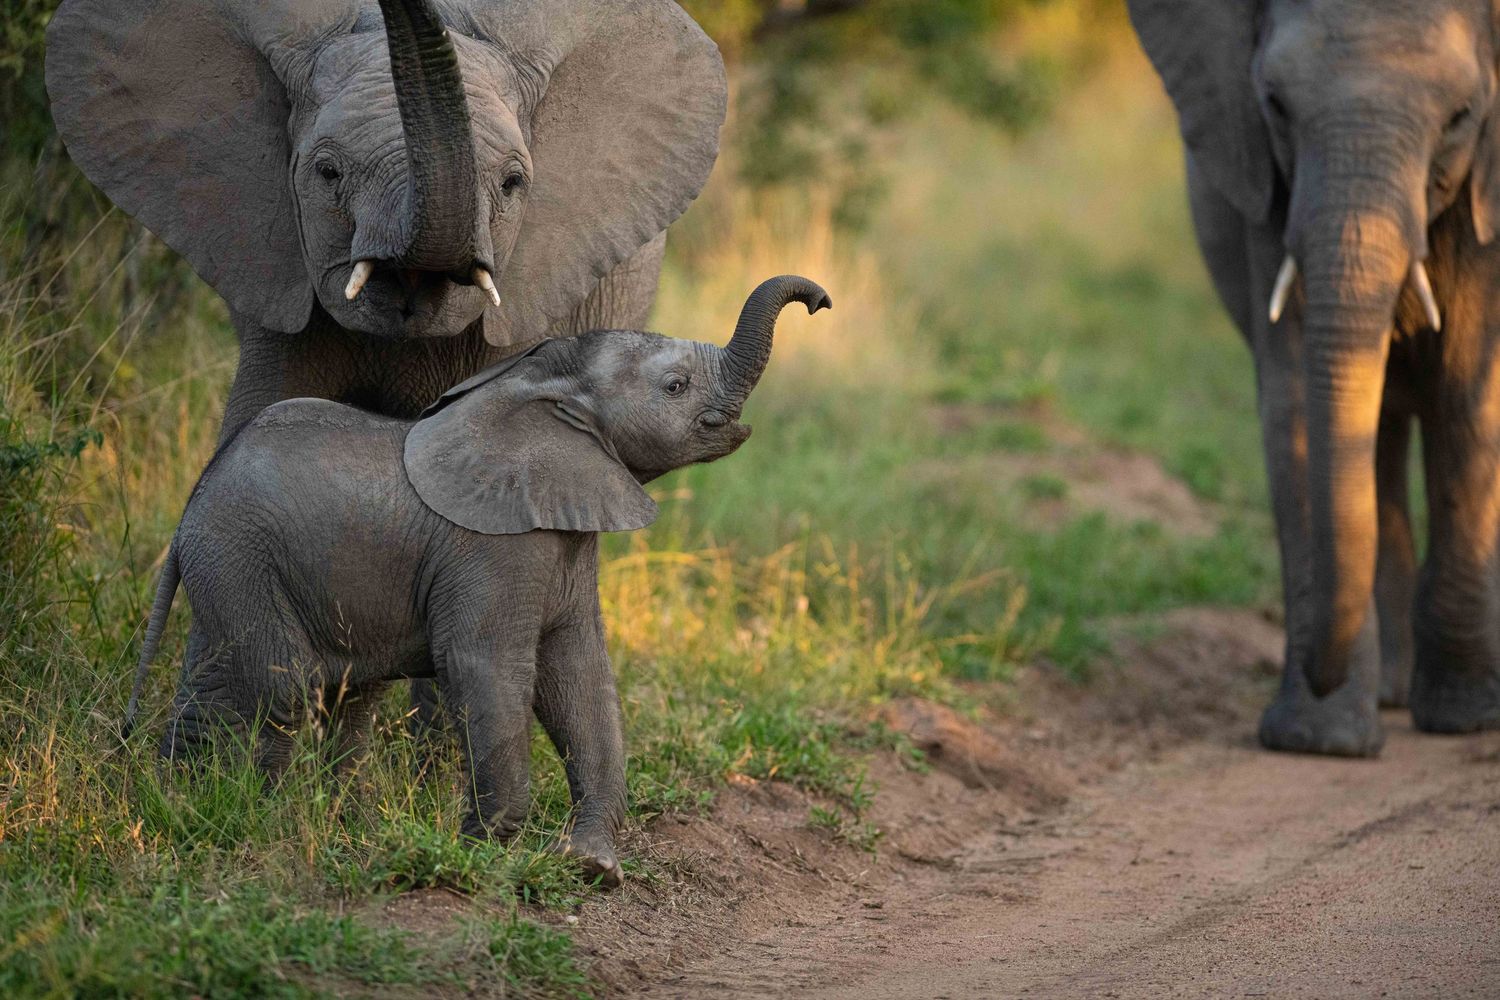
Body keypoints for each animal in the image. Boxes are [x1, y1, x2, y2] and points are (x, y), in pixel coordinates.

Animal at [122, 275, 833, 886]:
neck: (541, 388)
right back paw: (262, 818)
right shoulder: (493, 549)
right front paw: (484, 849)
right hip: (241, 556)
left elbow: (579, 677)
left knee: (254, 687)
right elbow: (485, 664)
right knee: (287, 689)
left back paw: (185, 804)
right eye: (676, 386)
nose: (820, 301)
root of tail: (189, 513)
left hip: (233, 568)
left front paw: (591, 867)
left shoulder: (565, 536)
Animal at [1128, 0, 1500, 755]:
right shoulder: (1268, 183)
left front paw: (1465, 719)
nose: (1320, 677)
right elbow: (1295, 399)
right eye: (1274, 104)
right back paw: (1388, 694)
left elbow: (1465, 394)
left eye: (1461, 115)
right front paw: (1319, 741)